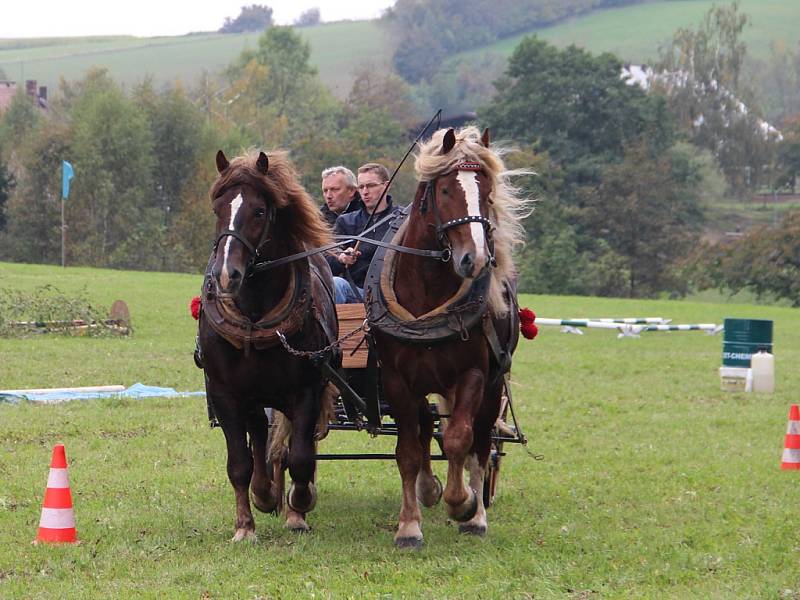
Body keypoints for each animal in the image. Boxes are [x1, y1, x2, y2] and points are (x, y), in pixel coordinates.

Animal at [202, 149, 340, 540]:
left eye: (259, 211)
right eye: (217, 208)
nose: (225, 275)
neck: (254, 315)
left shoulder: (306, 390)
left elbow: (301, 457)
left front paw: (300, 504)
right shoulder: (226, 394)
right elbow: (239, 463)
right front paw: (246, 523)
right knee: (262, 439)